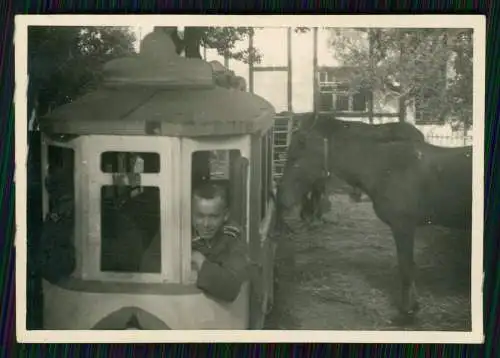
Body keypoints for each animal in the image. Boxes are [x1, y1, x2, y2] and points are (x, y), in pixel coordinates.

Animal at [278, 115, 472, 324]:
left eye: (299, 150)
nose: (280, 197)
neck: (385, 167)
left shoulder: (403, 226)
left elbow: (406, 267)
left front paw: (408, 309)